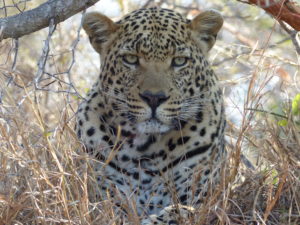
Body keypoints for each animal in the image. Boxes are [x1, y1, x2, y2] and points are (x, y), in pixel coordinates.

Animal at [76, 6, 226, 223]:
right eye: (130, 59)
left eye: (179, 61)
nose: (154, 98)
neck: (145, 147)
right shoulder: (104, 197)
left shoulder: (200, 198)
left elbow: (172, 214)